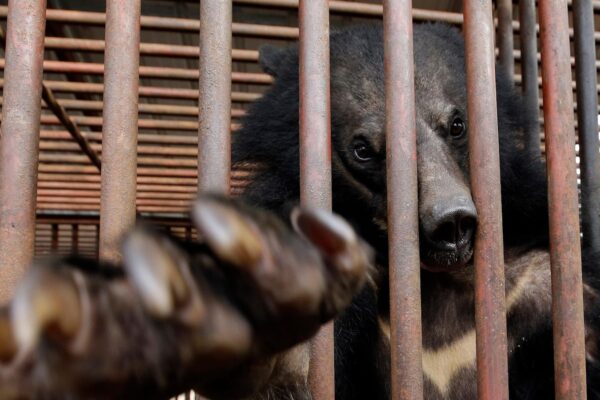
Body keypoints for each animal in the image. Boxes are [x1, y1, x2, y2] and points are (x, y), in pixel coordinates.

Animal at [0, 22, 599, 400]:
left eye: (456, 124)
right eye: (363, 150)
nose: (450, 224)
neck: (429, 284)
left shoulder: (544, 280)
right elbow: (293, 372)